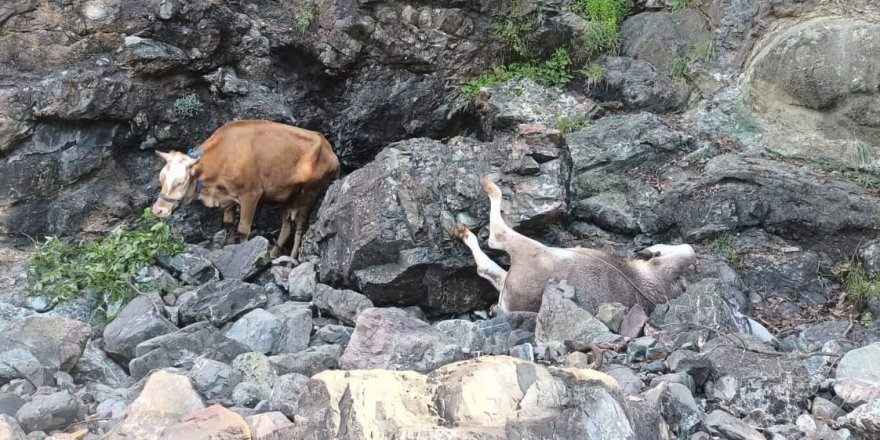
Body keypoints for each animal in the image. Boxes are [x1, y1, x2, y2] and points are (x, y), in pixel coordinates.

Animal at [150, 118, 338, 262]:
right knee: (286, 226)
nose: (158, 210)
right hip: (288, 196)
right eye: (161, 177)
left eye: (180, 181)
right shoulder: (227, 197)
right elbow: (228, 224)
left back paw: (291, 260)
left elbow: (243, 229)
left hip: (310, 194)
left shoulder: (251, 195)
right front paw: (228, 247)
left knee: (300, 226)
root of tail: (329, 149)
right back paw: (273, 254)